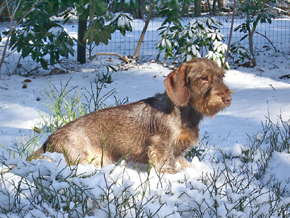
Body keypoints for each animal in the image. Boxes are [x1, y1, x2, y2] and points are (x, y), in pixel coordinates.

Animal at [30, 58, 232, 174]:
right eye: (204, 78)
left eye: (221, 76)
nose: (228, 98)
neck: (184, 112)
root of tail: (48, 140)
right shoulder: (161, 145)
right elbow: (166, 163)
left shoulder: (178, 149)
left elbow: (181, 160)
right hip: (84, 159)